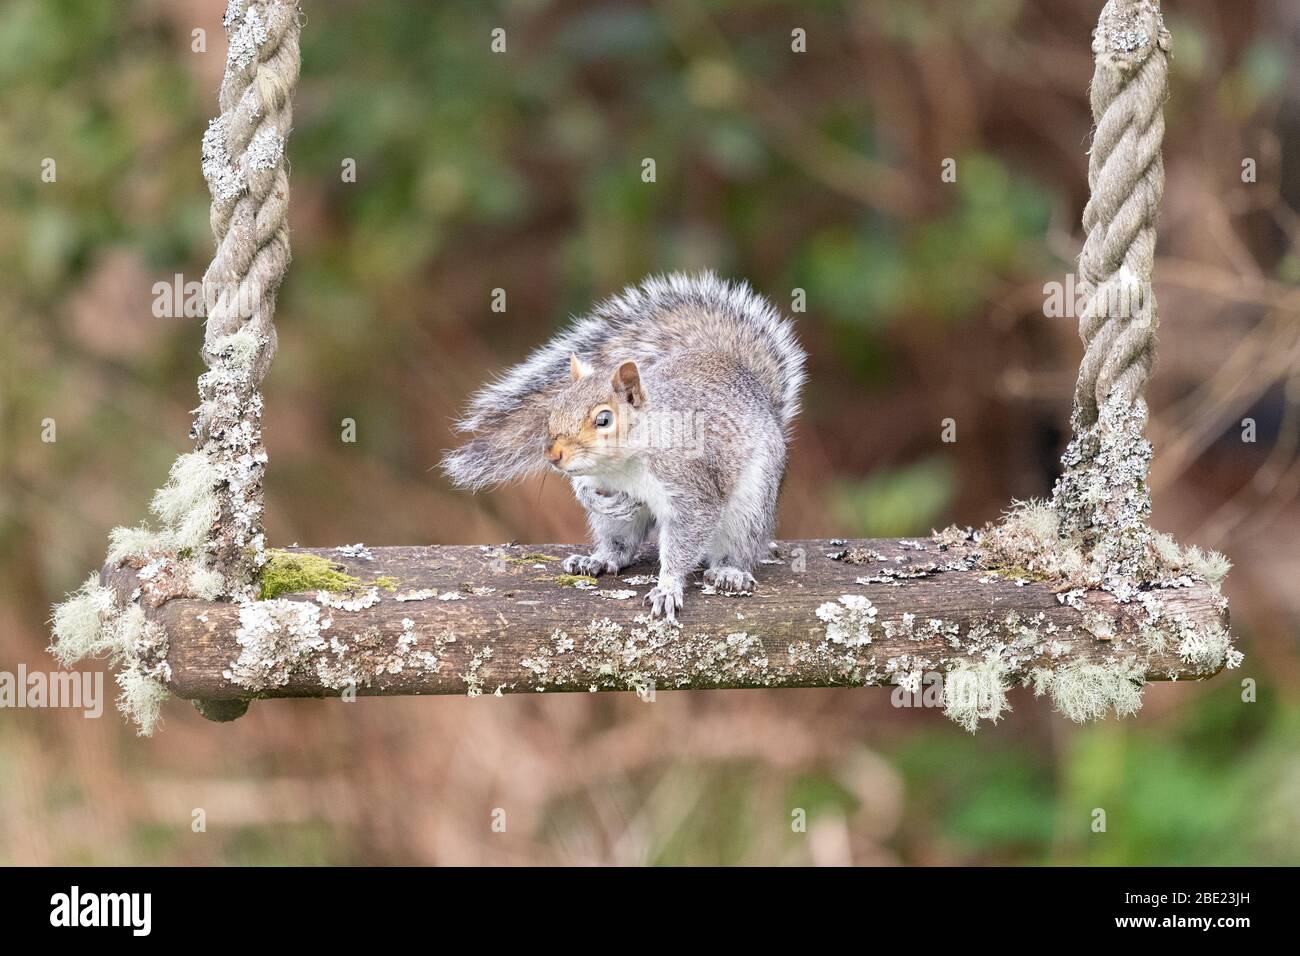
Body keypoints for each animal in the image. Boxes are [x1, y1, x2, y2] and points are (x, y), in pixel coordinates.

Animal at [444, 273, 800, 624]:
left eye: (604, 419)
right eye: (555, 409)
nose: (553, 455)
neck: (624, 465)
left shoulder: (692, 489)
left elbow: (684, 541)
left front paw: (668, 587)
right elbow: (587, 488)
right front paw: (596, 498)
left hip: (750, 507)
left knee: (739, 547)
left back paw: (730, 572)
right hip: (619, 526)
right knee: (622, 547)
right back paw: (597, 559)